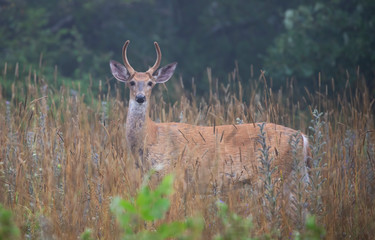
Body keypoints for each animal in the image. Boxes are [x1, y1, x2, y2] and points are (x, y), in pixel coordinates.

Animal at [109, 39, 312, 197]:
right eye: (131, 82)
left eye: (151, 83)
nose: (140, 97)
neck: (151, 136)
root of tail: (302, 138)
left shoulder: (174, 176)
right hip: (297, 176)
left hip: (273, 175)